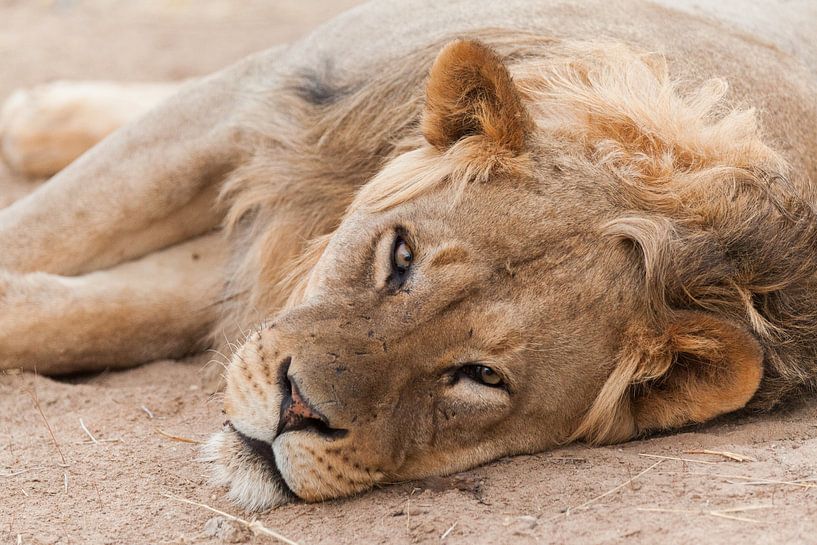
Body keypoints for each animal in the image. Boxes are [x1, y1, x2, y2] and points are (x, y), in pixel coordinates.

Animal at [1, 0, 816, 510]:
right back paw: (41, 117)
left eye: (480, 376)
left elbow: (94, 315)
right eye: (398, 258)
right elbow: (49, 233)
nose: (298, 410)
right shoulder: (266, 109)